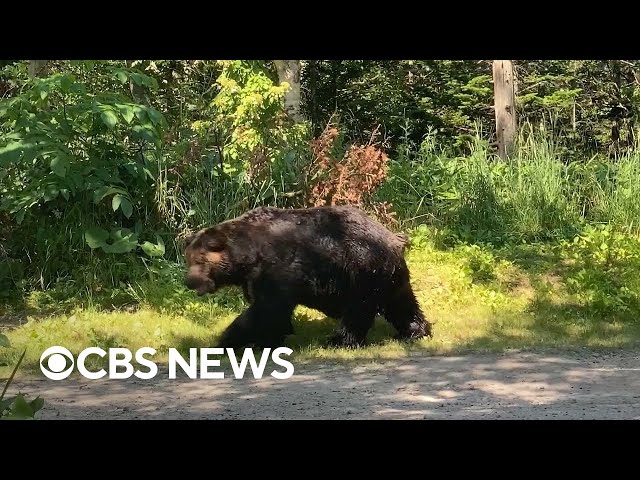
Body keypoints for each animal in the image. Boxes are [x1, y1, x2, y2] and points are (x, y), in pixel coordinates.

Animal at [182, 205, 432, 348]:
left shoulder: (277, 270)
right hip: (388, 276)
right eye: (188, 259)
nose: (190, 282)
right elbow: (269, 310)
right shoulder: (256, 278)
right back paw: (414, 331)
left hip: (361, 270)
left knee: (358, 311)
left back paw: (339, 341)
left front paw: (230, 339)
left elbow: (265, 310)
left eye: (200, 261)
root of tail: (393, 237)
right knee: (401, 303)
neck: (248, 255)